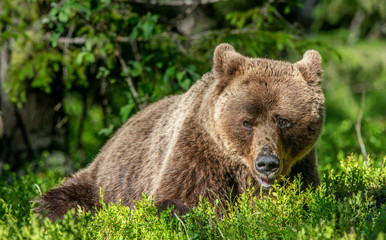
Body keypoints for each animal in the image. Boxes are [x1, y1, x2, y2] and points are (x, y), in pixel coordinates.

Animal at [37, 43, 326, 221]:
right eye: (247, 122)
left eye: (283, 120)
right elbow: (179, 201)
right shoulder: (197, 155)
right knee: (57, 202)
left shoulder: (301, 168)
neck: (241, 171)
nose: (266, 163)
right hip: (104, 183)